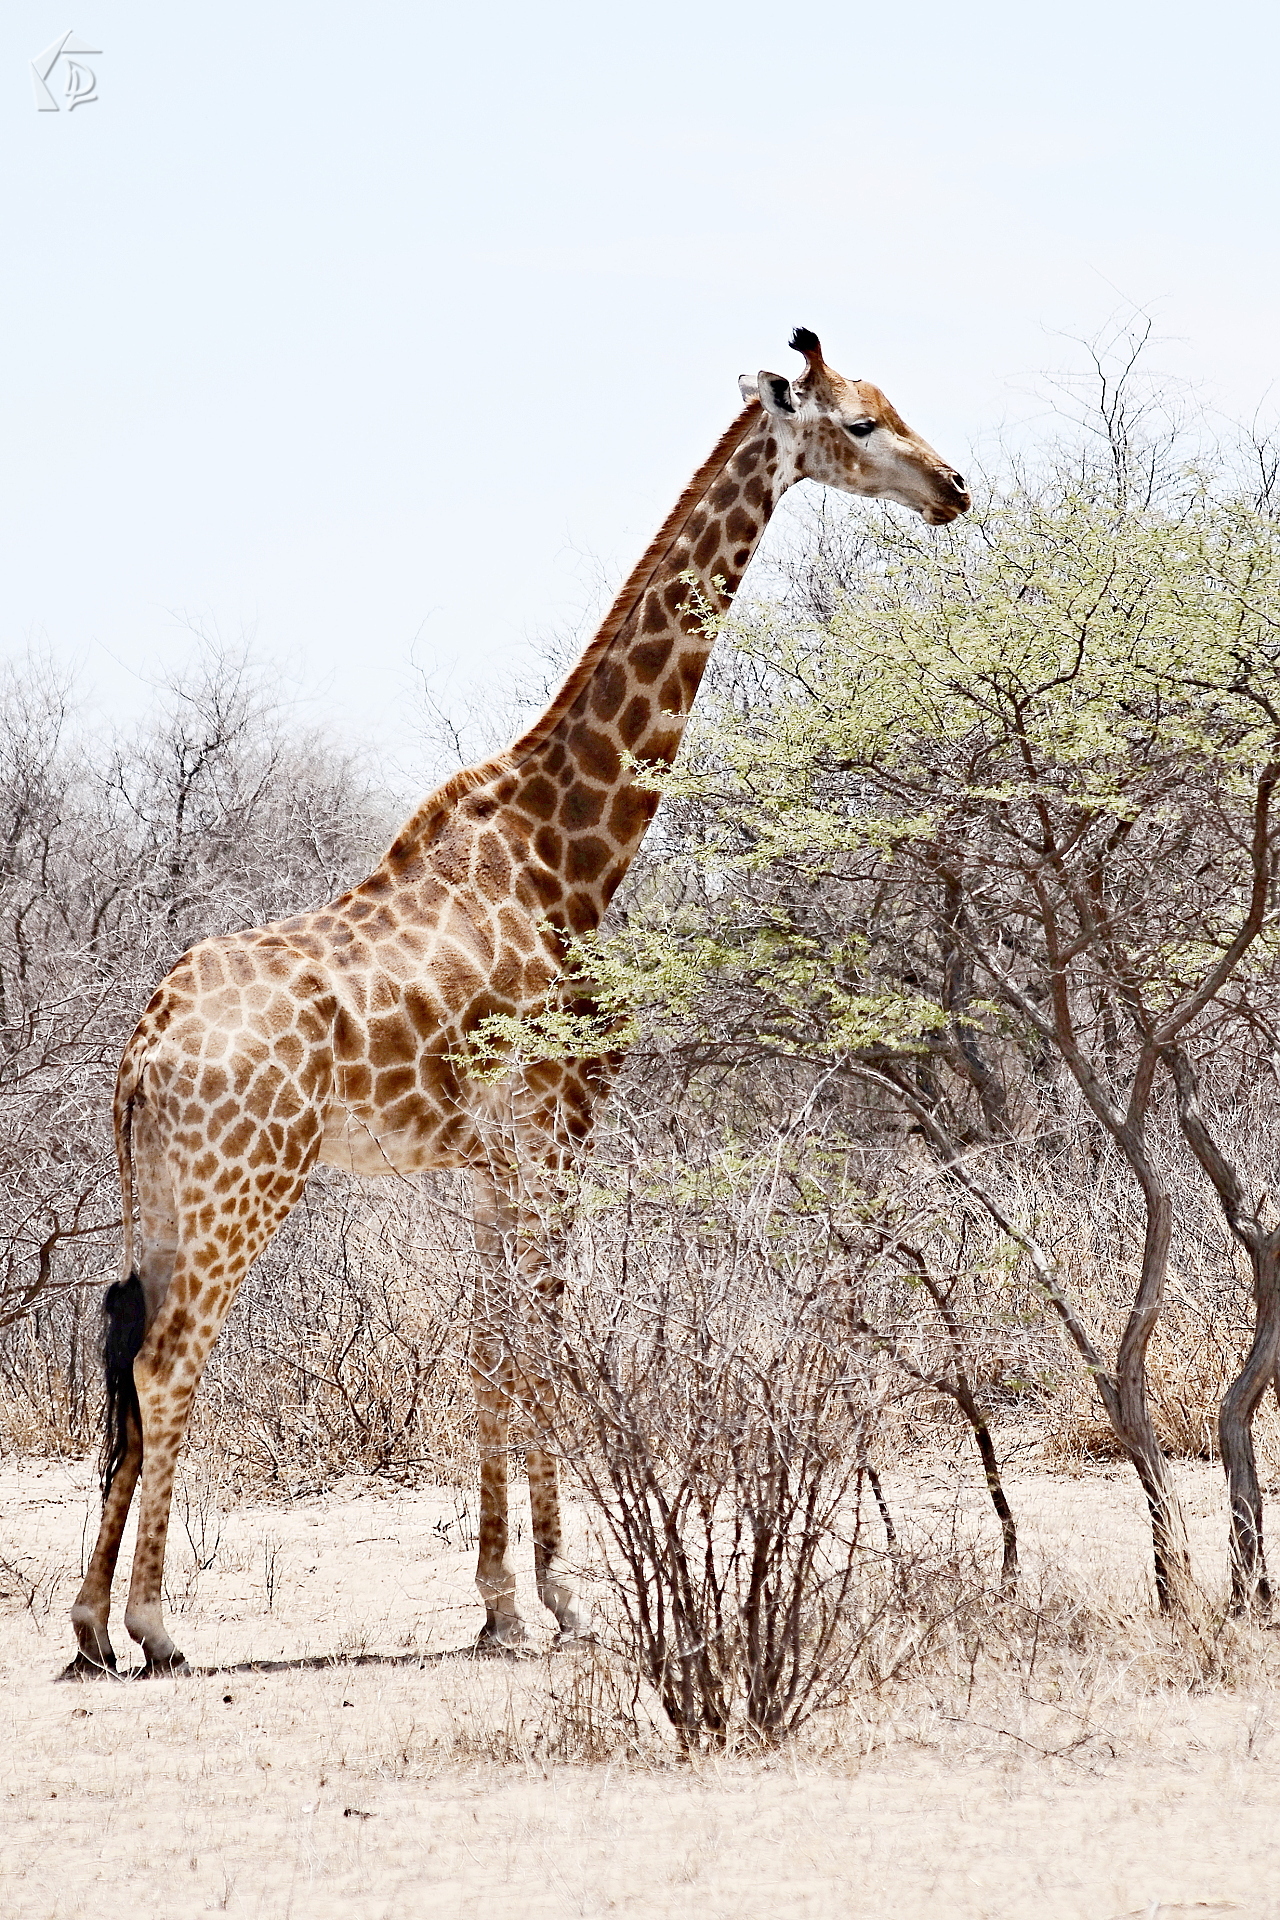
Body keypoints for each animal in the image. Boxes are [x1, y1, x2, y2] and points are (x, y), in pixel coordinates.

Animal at [65, 328, 969, 1675]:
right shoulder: (554, 1134)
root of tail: (142, 1048)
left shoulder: (494, 1158)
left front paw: (500, 1598)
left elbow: (493, 1346)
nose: (952, 487)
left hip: (166, 1193)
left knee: (125, 1349)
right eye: (857, 424)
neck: (572, 848)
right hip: (245, 1185)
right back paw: (156, 1624)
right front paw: (559, 1596)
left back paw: (86, 1624)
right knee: (172, 1362)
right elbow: (539, 1340)